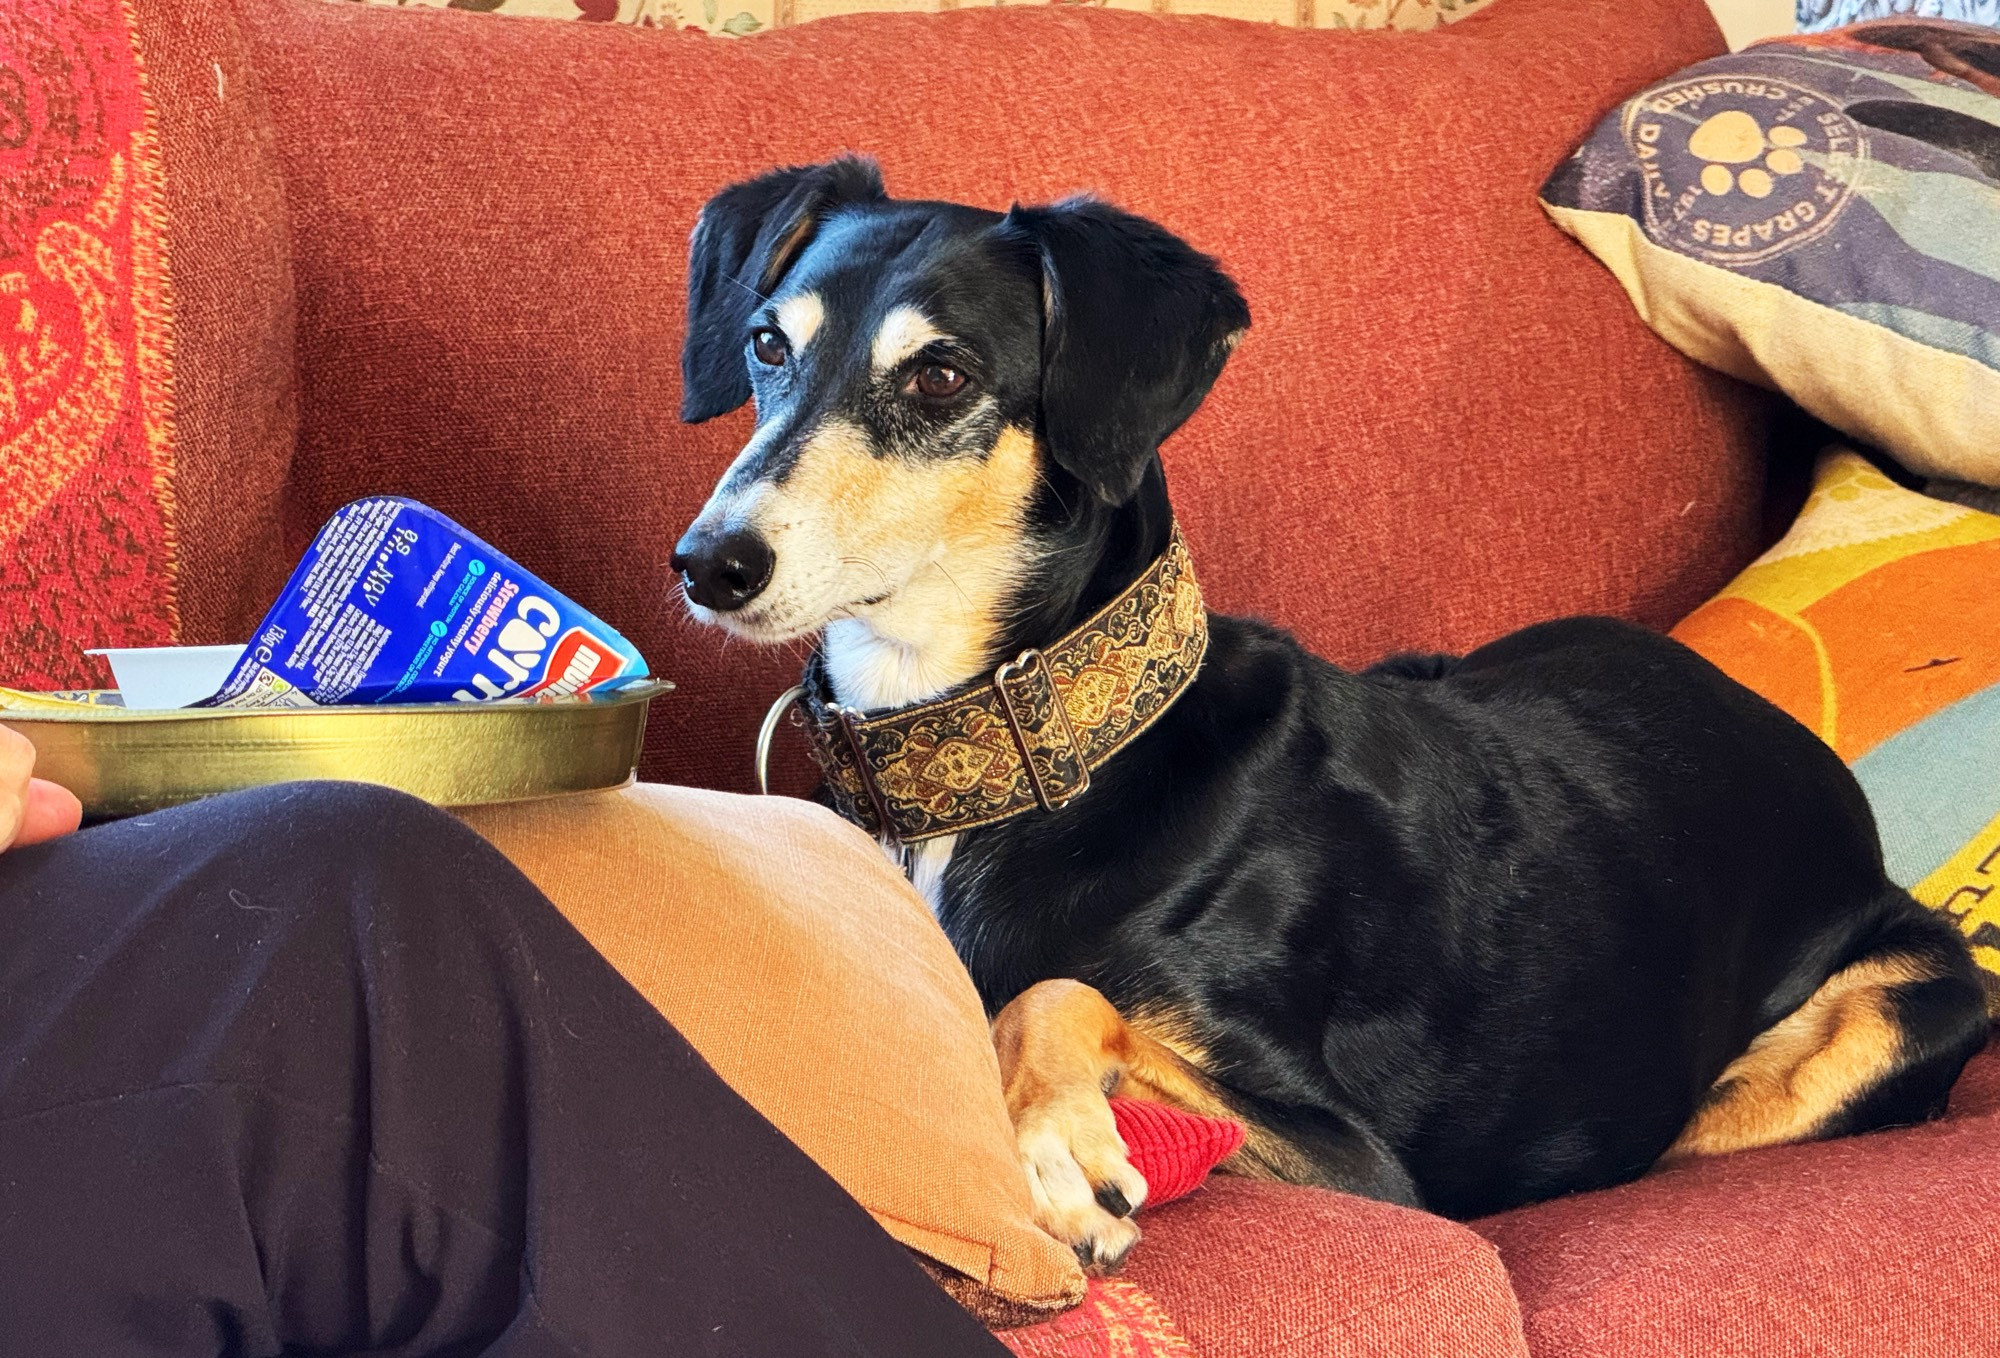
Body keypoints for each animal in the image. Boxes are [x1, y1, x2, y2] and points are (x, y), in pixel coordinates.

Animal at [672, 159, 1984, 1272]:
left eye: (939, 374)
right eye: (766, 345)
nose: (707, 565)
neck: (1021, 753)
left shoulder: (1362, 1167)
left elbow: (1056, 994)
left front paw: (1057, 1149)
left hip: (1881, 1018)